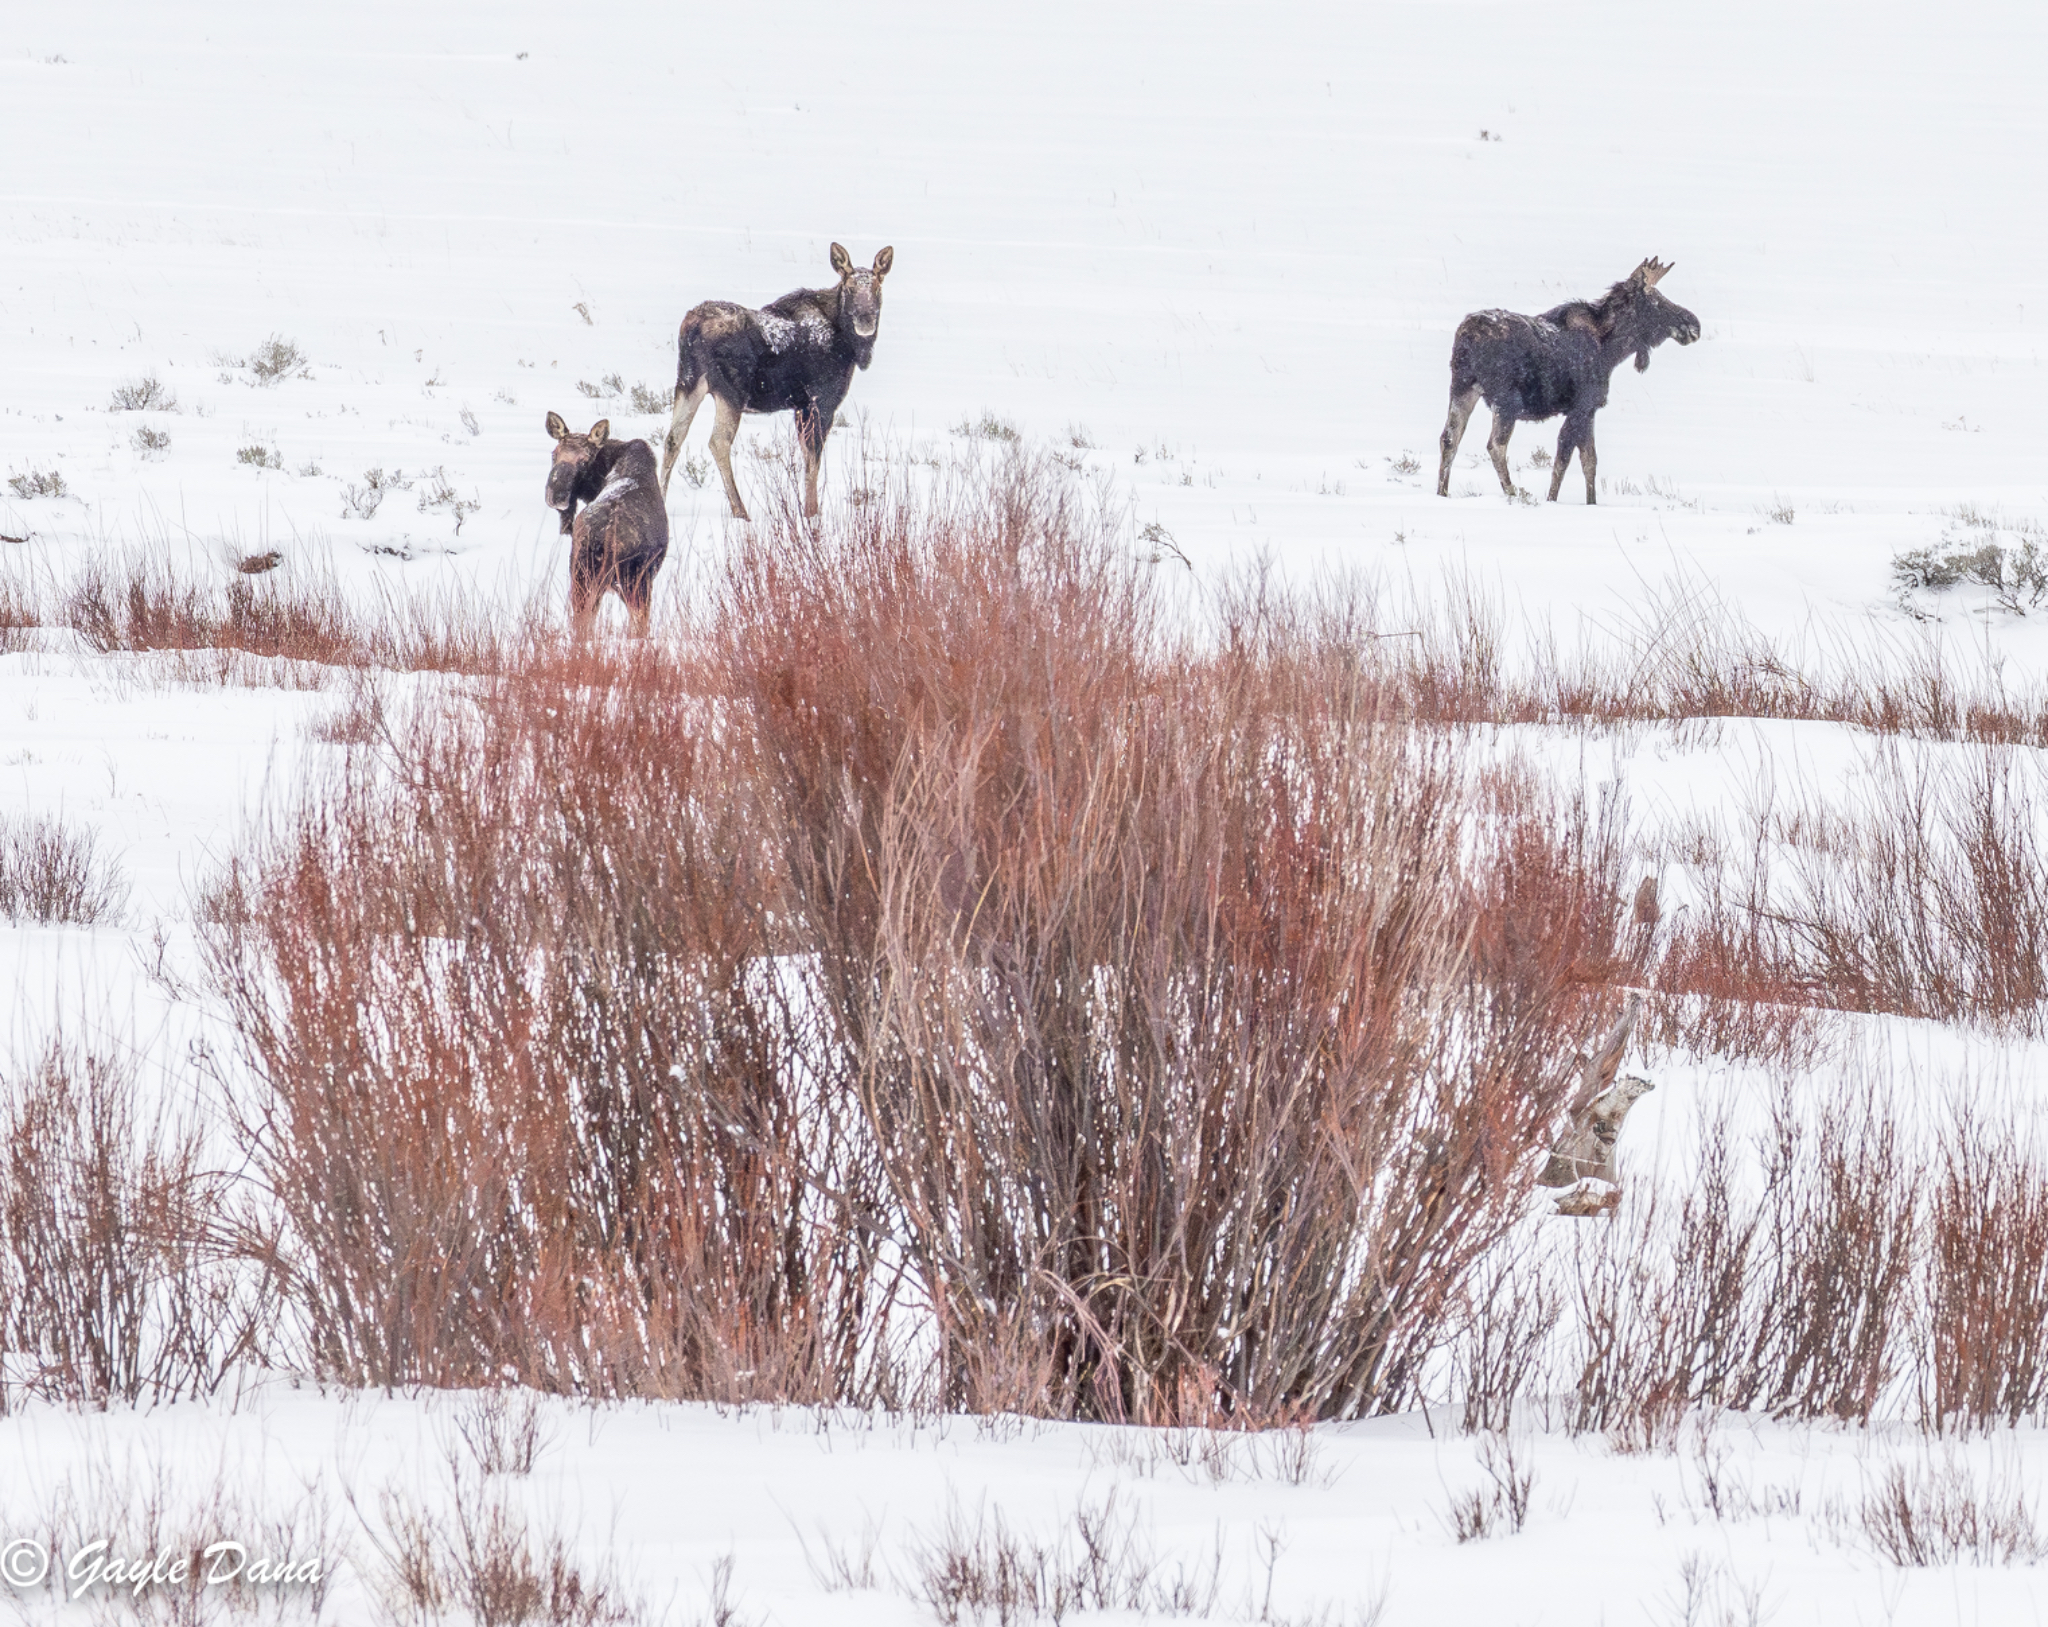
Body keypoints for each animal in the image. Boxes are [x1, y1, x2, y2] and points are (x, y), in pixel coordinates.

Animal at [543, 413, 668, 638]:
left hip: (582, 579)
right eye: (554, 454)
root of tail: (604, 539)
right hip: (633, 584)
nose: (556, 495)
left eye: (585, 461)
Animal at [657, 243, 894, 520]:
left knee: (673, 438)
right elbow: (813, 459)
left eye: (877, 286)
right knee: (718, 442)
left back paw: (661, 502)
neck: (849, 345)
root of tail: (691, 327)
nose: (865, 321)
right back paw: (740, 510)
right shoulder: (821, 400)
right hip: (731, 391)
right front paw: (812, 512)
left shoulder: (800, 406)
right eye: (849, 288)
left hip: (688, 382)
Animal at [1436, 258, 1700, 505]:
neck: (1611, 351)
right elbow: (1563, 460)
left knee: (1449, 438)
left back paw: (1442, 493)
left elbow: (1589, 461)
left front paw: (1591, 503)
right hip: (1506, 400)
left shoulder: (1588, 411)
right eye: (1656, 300)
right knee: (1496, 445)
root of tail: (1466, 337)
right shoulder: (1581, 407)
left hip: (1462, 387)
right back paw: (1513, 493)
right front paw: (1552, 500)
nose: (1694, 324)